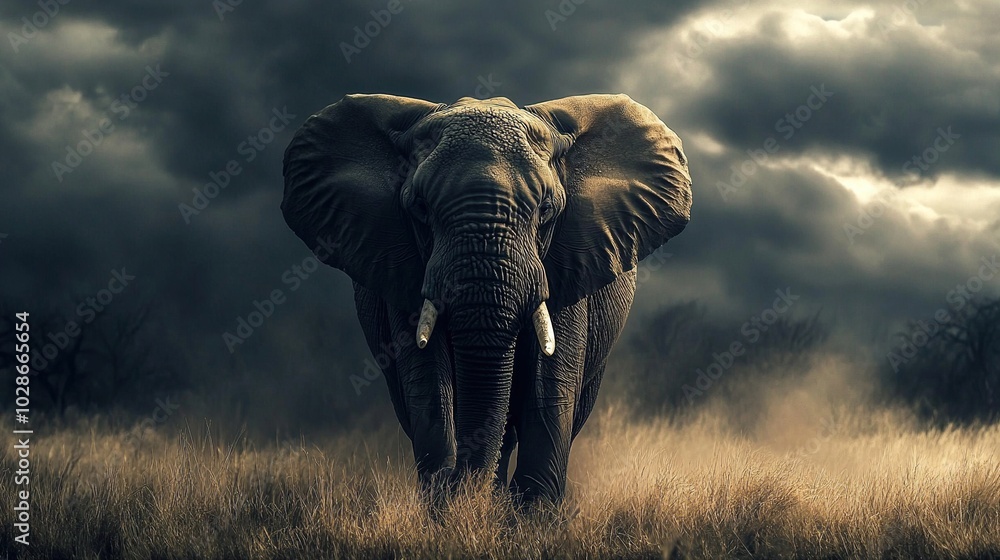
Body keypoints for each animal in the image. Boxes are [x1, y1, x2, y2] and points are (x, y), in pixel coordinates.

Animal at [281, 93, 692, 505]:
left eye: (546, 209)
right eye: (420, 209)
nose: (454, 477)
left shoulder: (570, 261)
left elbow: (549, 386)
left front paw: (527, 511)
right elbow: (428, 383)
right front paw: (449, 502)